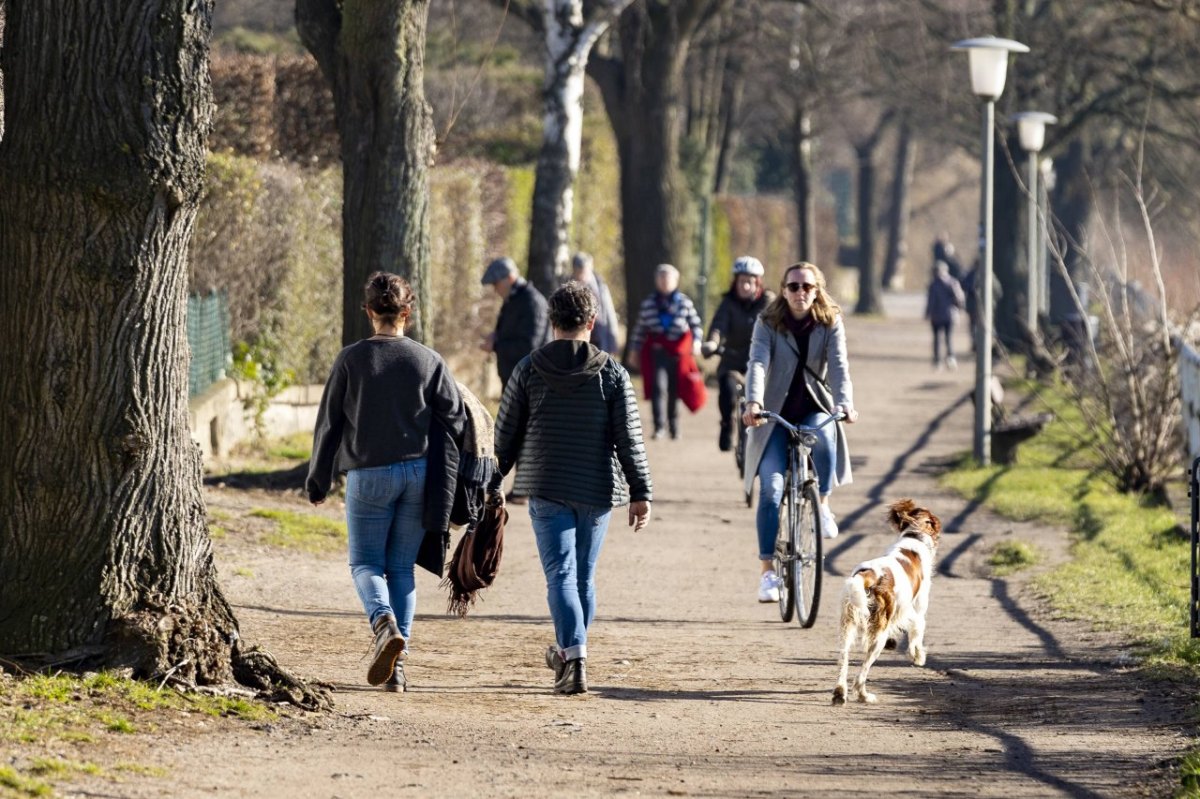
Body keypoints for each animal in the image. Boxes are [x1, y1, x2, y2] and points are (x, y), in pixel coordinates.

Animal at [830, 499, 940, 705]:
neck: (913, 538)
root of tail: (869, 575)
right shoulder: (917, 609)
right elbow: (917, 633)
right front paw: (917, 656)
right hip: (877, 635)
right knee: (862, 673)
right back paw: (864, 695)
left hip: (847, 625)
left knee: (843, 657)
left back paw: (840, 694)